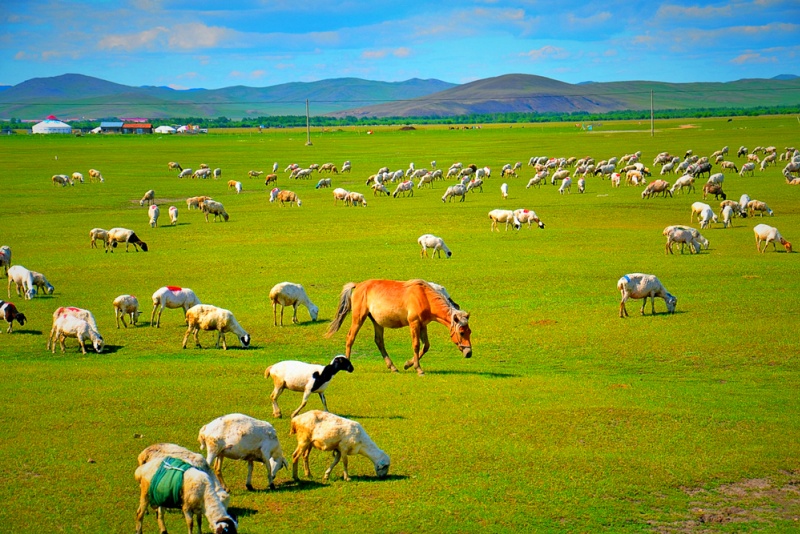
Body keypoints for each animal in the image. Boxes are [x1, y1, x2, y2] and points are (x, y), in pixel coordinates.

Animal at [324, 280, 472, 376]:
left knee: (379, 341)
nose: (469, 353)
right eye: (461, 332)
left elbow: (426, 346)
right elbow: (416, 345)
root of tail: (358, 285)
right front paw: (418, 369)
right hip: (359, 317)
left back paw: (393, 367)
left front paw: (408, 364)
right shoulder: (414, 323)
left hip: (377, 321)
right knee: (350, 338)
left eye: (469, 332)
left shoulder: (423, 325)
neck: (424, 297)